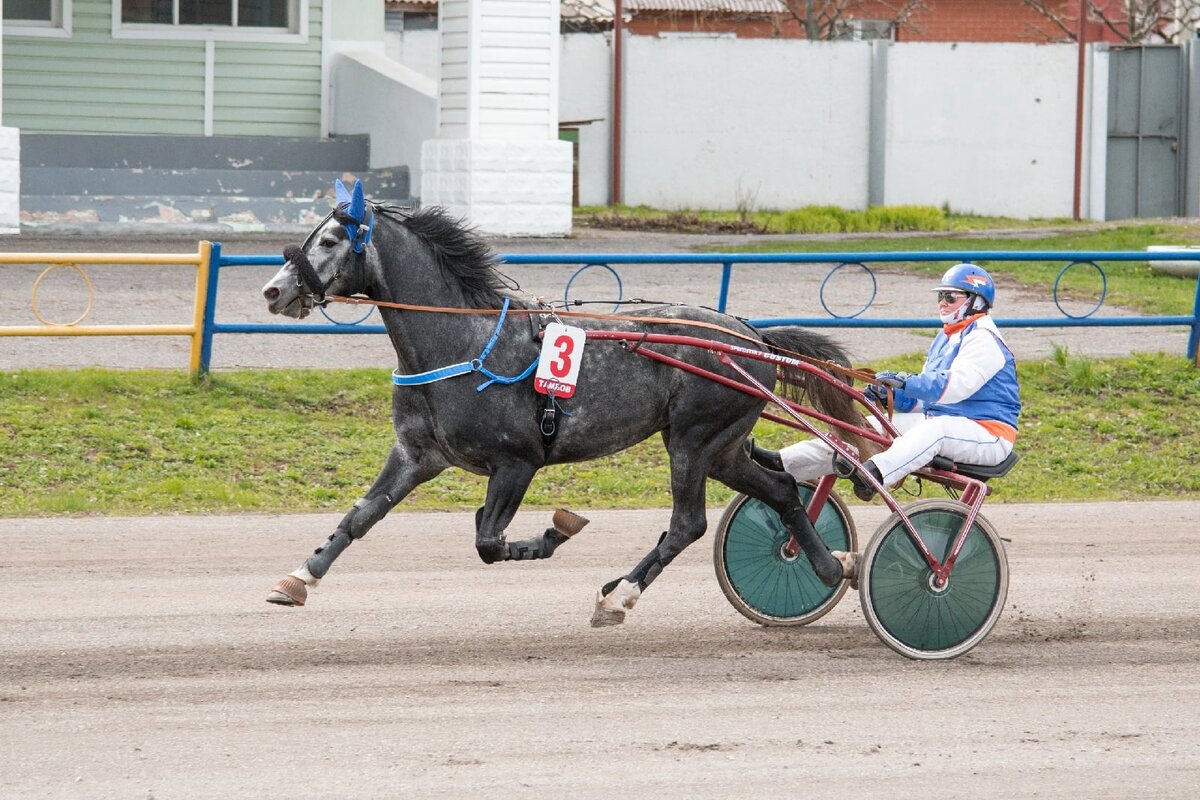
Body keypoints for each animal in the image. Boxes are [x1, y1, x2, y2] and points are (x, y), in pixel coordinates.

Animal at [260, 181, 873, 623]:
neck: (465, 344)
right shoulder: (418, 455)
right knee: (781, 488)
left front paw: (557, 530)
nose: (273, 290)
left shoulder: (517, 462)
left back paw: (619, 596)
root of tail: (754, 338)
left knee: (688, 524)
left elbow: (489, 541)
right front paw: (300, 578)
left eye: (331, 240)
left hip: (694, 441)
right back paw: (832, 564)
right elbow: (361, 515)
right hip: (723, 448)